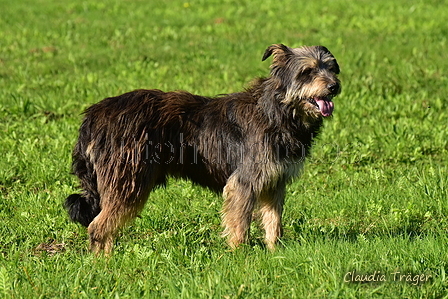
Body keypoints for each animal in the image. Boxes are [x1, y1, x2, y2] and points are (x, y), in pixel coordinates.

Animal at [65, 45, 342, 255]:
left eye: (332, 68)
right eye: (307, 71)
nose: (334, 86)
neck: (277, 110)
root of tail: (94, 115)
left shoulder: (275, 182)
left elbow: (274, 222)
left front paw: (276, 252)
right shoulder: (244, 183)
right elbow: (239, 224)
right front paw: (241, 255)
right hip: (128, 180)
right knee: (97, 227)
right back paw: (104, 263)